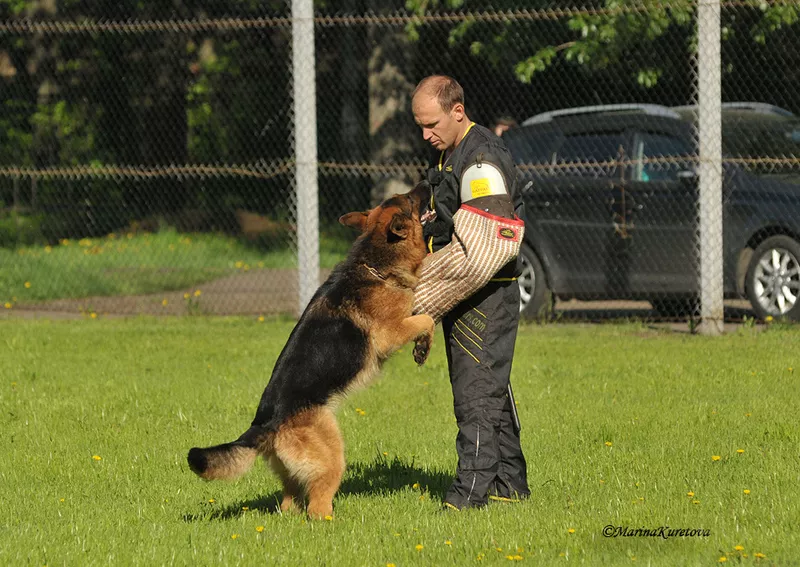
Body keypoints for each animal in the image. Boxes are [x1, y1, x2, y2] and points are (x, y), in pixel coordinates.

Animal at [188, 182, 434, 520]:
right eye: (410, 199)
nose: (428, 182)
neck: (374, 262)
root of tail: (264, 423)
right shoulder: (390, 332)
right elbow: (426, 318)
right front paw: (424, 344)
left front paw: (422, 347)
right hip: (331, 453)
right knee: (317, 505)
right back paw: (333, 522)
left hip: (292, 473)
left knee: (289, 502)